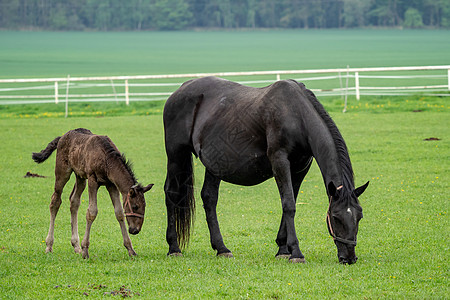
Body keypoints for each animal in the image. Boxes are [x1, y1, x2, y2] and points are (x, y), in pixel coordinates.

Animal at [163, 76, 368, 264]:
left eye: (359, 216)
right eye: (336, 217)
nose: (349, 258)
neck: (296, 114)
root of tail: (180, 89)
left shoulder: (300, 168)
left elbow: (290, 202)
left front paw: (283, 249)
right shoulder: (279, 160)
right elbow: (289, 204)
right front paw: (296, 253)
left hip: (215, 164)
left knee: (209, 198)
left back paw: (222, 248)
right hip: (176, 155)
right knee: (171, 193)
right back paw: (174, 248)